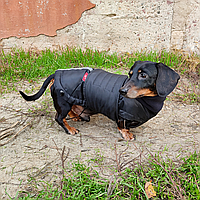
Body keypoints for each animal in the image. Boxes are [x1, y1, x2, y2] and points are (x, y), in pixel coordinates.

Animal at [19, 61, 180, 141]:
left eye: (144, 76)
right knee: (59, 118)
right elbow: (122, 125)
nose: (121, 91)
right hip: (63, 103)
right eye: (130, 74)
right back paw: (70, 129)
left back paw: (75, 117)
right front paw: (126, 134)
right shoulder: (121, 114)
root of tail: (56, 73)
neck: (146, 100)